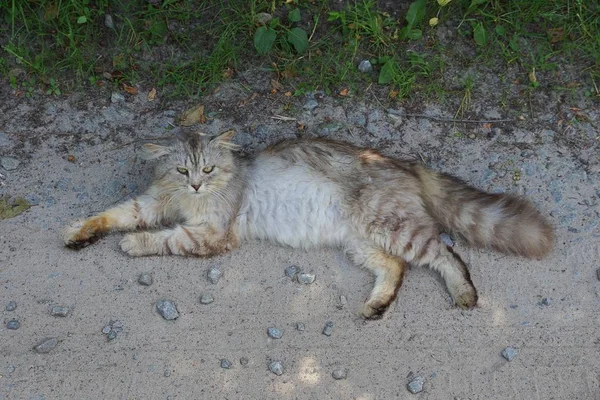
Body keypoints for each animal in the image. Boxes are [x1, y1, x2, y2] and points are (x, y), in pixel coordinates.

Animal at [62, 130, 552, 318]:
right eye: (183, 170)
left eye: (208, 170)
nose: (197, 185)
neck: (184, 199)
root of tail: (401, 162)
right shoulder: (150, 201)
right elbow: (114, 213)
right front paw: (79, 232)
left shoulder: (212, 233)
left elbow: (164, 238)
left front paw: (133, 245)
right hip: (361, 241)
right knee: (397, 269)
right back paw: (376, 305)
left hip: (394, 228)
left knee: (447, 254)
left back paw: (464, 293)